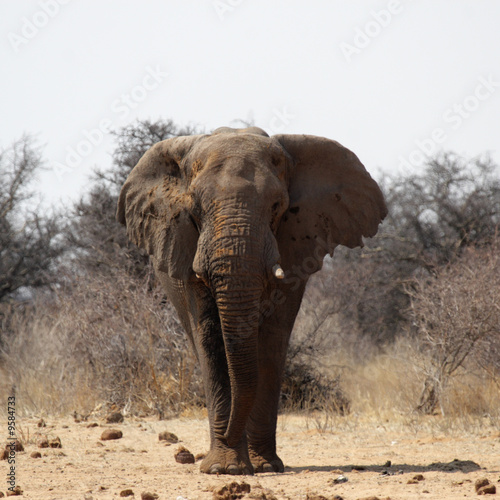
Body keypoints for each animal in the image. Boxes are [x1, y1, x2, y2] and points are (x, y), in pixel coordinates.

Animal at [116, 124, 386, 472]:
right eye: (195, 209)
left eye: (277, 206)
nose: (229, 435)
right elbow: (210, 337)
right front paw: (225, 468)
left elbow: (272, 337)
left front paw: (263, 467)